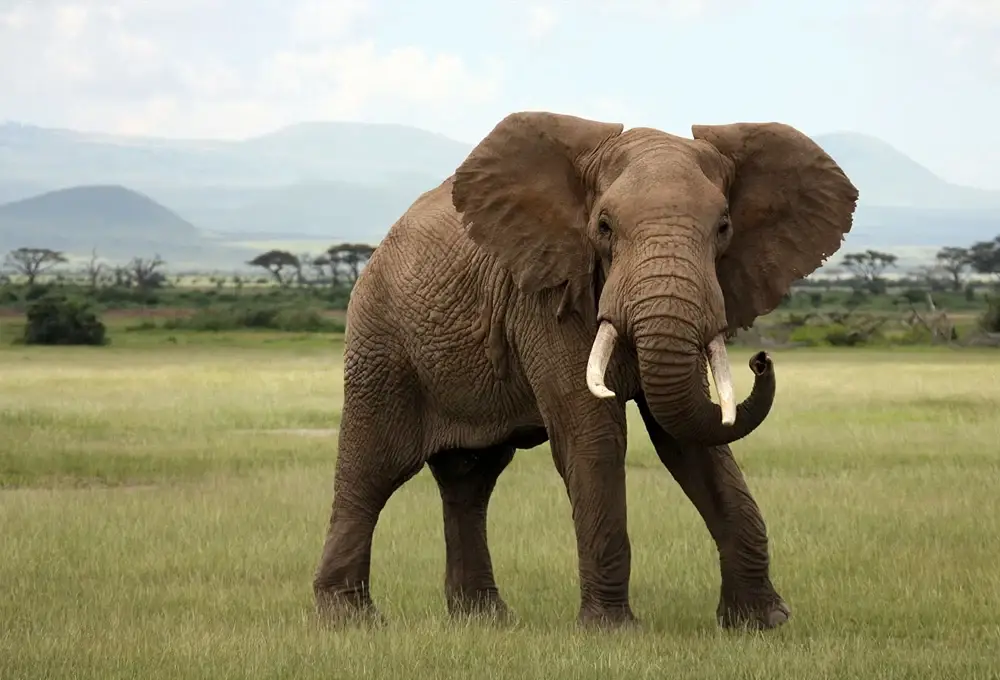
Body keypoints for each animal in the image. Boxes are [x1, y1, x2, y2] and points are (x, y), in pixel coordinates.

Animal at [312, 111, 858, 631]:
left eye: (724, 227)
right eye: (604, 228)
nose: (760, 360)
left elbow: (690, 439)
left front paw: (763, 623)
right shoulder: (546, 294)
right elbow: (593, 435)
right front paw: (613, 631)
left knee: (470, 481)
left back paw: (485, 620)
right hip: (380, 343)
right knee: (373, 469)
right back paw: (349, 619)